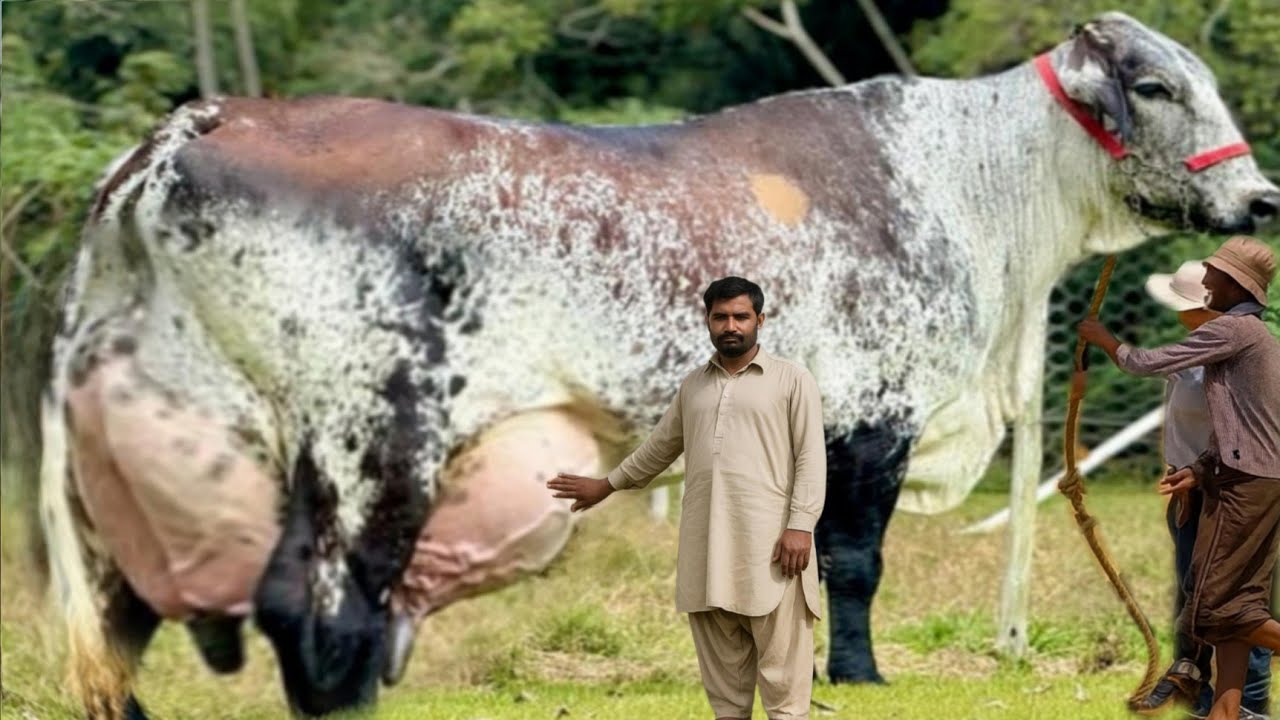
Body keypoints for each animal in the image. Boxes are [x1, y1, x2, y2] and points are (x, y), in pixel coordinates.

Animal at [38, 11, 1278, 718]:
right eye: (1154, 86)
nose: (1258, 196)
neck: (964, 184)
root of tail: (195, 125)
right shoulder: (870, 413)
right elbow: (854, 563)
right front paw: (861, 677)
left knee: (126, 621)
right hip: (365, 438)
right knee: (318, 608)